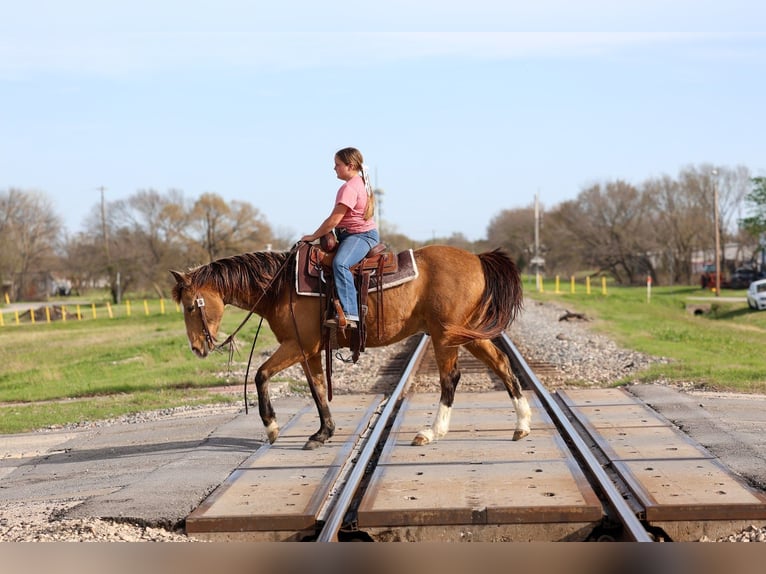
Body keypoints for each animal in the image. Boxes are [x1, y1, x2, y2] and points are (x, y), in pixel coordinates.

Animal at [170, 244, 531, 450]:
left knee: (450, 378)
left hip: (444, 336)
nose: (197, 348)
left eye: (190, 307)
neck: (280, 287)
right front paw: (323, 432)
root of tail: (477, 259)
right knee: (501, 363)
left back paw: (431, 432)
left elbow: (261, 374)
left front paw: (272, 427)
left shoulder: (298, 345)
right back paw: (522, 425)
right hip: (466, 333)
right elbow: (317, 388)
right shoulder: (310, 351)